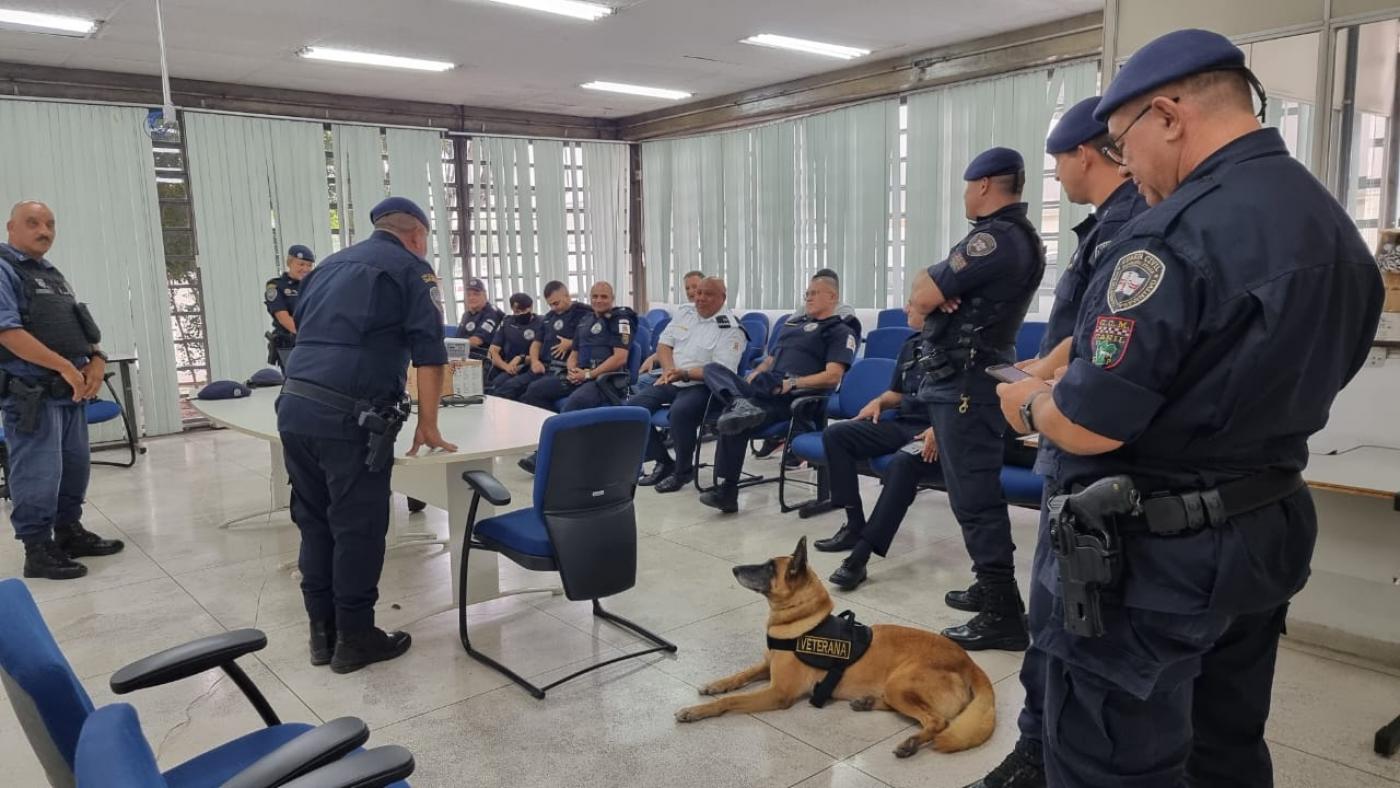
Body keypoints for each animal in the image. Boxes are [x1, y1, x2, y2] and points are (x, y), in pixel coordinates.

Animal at [674, 537, 996, 755]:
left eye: (768, 568)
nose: (734, 569)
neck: (803, 619)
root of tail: (969, 662)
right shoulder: (766, 665)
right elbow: (738, 676)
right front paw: (715, 685)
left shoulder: (778, 693)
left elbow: (729, 702)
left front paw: (695, 711)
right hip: (895, 688)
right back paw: (866, 702)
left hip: (901, 683)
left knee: (938, 721)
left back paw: (911, 742)